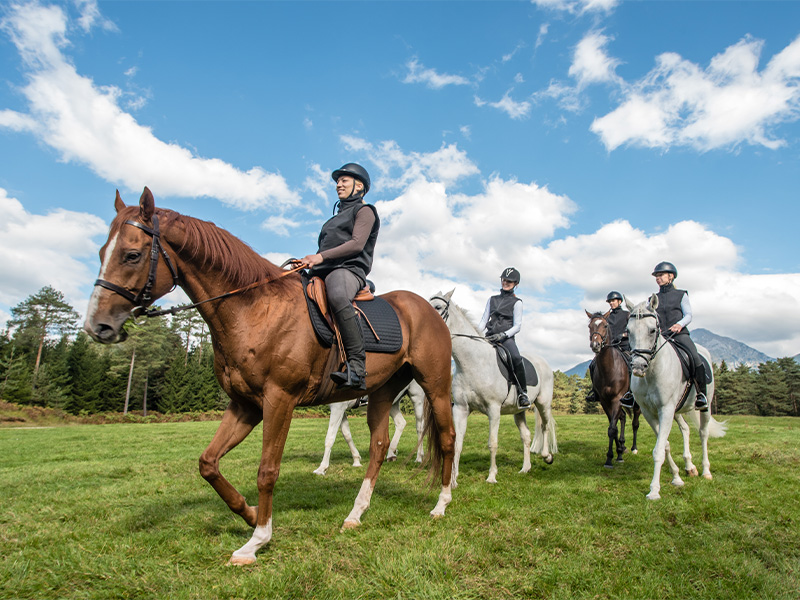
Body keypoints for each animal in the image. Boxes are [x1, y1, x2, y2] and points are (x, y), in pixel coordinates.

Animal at [83, 188, 456, 564]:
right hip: (381, 392)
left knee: (447, 437)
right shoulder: (245, 405)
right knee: (378, 446)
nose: (97, 326)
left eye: (131, 255)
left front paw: (257, 540)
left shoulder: (280, 400)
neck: (254, 309)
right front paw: (248, 514)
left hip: (436, 387)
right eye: (101, 253)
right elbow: (208, 463)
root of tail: (426, 308)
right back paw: (355, 514)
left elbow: (267, 470)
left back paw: (441, 504)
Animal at [432, 292, 556, 488]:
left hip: (543, 404)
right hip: (518, 412)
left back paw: (546, 456)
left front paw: (491, 476)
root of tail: (543, 361)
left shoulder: (494, 409)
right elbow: (457, 443)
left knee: (544, 426)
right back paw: (525, 468)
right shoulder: (460, 409)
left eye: (437, 307)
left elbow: (493, 443)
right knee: (526, 436)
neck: (472, 363)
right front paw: (452, 479)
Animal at [584, 310, 640, 468]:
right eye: (590, 326)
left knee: (635, 423)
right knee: (623, 418)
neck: (610, 369)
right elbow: (612, 428)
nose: (595, 344)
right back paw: (622, 447)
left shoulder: (617, 398)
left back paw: (633, 448)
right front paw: (616, 454)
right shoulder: (604, 401)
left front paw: (611, 458)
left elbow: (612, 428)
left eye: (605, 325)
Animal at [628, 294, 728, 496]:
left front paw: (654, 490)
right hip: (677, 410)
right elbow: (664, 444)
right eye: (628, 331)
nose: (638, 367)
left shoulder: (665, 409)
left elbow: (659, 449)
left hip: (705, 407)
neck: (651, 374)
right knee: (686, 429)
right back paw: (689, 467)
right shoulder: (649, 412)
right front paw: (676, 476)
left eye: (652, 330)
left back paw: (706, 471)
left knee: (703, 433)